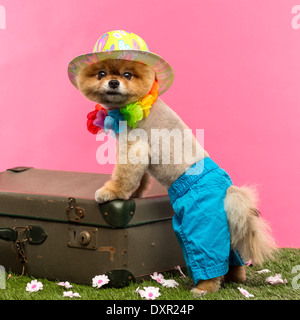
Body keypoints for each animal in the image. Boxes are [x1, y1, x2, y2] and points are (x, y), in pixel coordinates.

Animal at [75, 57, 276, 292]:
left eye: (127, 75)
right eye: (101, 74)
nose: (114, 82)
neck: (136, 106)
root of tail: (228, 190)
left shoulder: (134, 147)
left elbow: (124, 176)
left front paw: (110, 193)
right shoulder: (140, 155)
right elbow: (139, 181)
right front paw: (133, 196)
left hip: (200, 221)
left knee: (208, 257)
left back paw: (204, 288)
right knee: (233, 255)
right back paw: (235, 278)